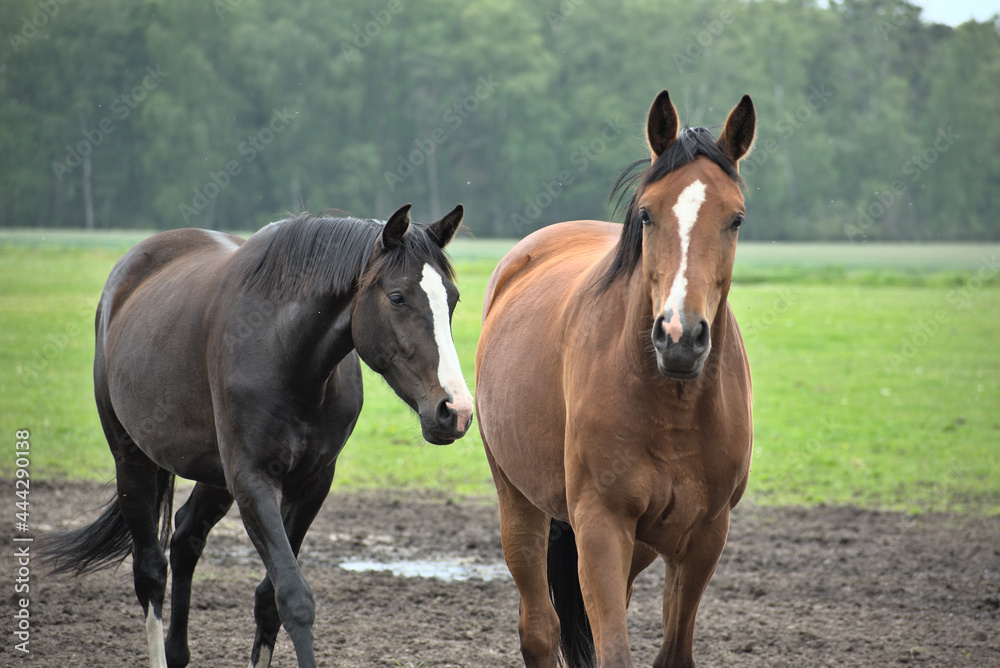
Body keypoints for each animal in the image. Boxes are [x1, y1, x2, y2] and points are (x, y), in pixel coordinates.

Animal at [40, 204, 472, 668]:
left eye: (452, 299)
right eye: (397, 297)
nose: (456, 410)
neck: (285, 349)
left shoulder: (310, 483)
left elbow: (269, 600)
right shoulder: (252, 479)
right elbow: (293, 597)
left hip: (214, 475)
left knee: (185, 537)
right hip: (132, 459)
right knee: (151, 572)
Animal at [472, 92, 752, 668]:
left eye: (735, 219)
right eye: (647, 214)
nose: (679, 336)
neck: (673, 408)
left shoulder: (705, 536)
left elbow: (673, 652)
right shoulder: (601, 526)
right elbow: (611, 650)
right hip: (519, 502)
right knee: (540, 629)